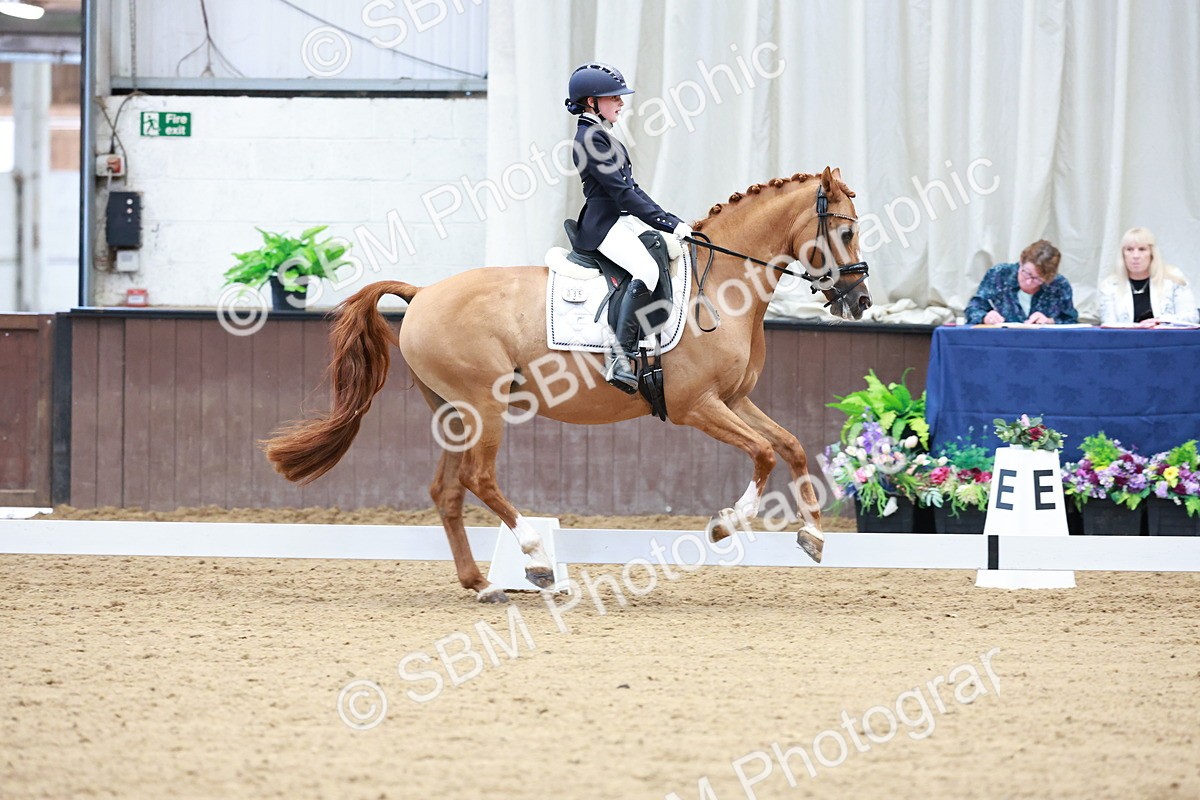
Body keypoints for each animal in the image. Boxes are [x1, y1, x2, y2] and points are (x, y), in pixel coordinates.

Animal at [263, 166, 873, 603]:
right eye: (844, 231)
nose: (860, 301)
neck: (721, 285)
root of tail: (422, 293)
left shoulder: (735, 398)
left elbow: (791, 445)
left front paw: (814, 535)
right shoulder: (696, 405)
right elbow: (765, 452)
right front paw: (726, 524)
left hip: (454, 412)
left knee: (447, 491)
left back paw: (482, 584)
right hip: (484, 406)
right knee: (479, 479)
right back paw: (534, 559)